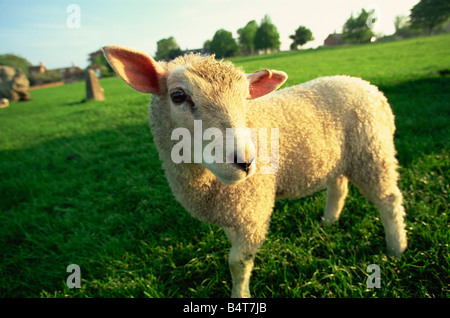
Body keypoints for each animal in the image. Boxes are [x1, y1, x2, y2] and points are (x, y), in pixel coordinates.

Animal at [103, 45, 408, 298]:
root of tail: (368, 87)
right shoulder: (230, 211)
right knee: (339, 186)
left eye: (245, 99)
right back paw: (329, 221)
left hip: (372, 153)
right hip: (339, 158)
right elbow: (231, 247)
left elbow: (237, 262)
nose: (246, 162)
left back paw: (396, 248)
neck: (207, 185)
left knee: (389, 200)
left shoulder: (254, 210)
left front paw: (240, 295)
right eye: (177, 96)